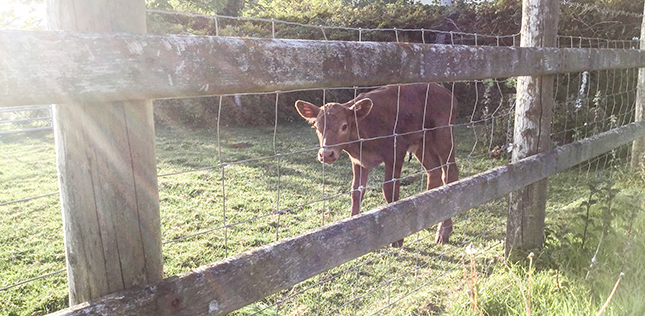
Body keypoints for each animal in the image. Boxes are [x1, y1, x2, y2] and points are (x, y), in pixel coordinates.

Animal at [296, 82, 458, 246]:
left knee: (450, 174)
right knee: (434, 172)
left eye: (344, 126)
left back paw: (444, 230)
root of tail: (444, 90)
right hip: (421, 144)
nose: (326, 154)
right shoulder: (358, 161)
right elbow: (356, 191)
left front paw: (397, 239)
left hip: (443, 136)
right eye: (316, 127)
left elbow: (390, 190)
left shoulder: (395, 153)